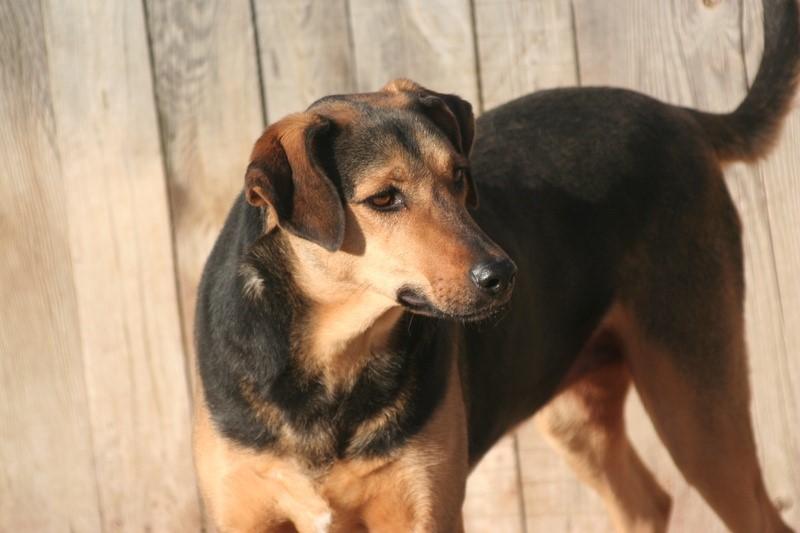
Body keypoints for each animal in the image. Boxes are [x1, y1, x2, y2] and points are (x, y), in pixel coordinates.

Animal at [194, 2, 800, 528]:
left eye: (459, 175)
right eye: (384, 198)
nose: (502, 276)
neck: (329, 361)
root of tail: (681, 117)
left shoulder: (424, 512)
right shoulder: (245, 516)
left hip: (697, 404)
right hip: (578, 412)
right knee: (645, 502)